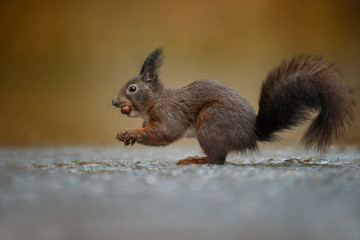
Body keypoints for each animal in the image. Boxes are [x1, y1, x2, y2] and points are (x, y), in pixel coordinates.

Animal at [112, 48, 354, 165]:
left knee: (218, 158)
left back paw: (197, 160)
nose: (114, 102)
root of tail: (251, 134)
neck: (155, 100)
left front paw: (132, 133)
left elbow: (165, 132)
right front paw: (126, 133)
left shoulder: (169, 112)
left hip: (210, 121)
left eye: (132, 88)